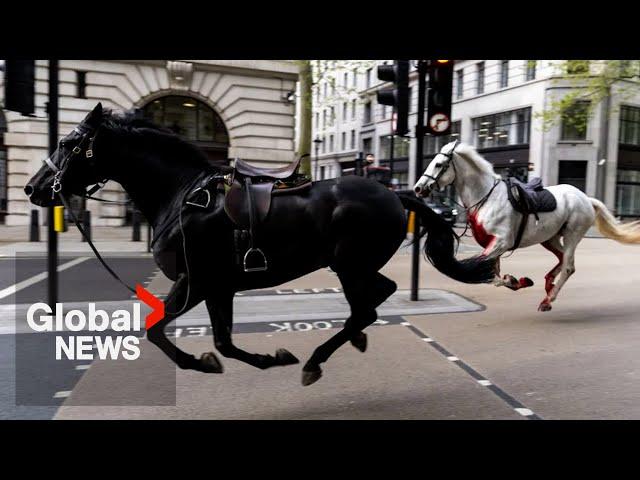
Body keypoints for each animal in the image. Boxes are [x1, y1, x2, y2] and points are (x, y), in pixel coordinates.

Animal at [25, 103, 496, 384]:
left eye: (67, 143)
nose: (33, 188)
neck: (181, 195)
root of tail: (395, 194)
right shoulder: (218, 287)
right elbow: (222, 342)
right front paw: (262, 358)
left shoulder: (196, 282)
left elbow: (157, 331)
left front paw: (203, 362)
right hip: (353, 265)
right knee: (377, 297)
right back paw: (351, 340)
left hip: (348, 265)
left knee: (367, 306)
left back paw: (317, 360)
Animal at [412, 141, 640, 312]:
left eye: (439, 164)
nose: (418, 188)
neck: (486, 197)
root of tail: (586, 198)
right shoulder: (493, 245)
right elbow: (494, 276)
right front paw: (517, 281)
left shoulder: (501, 242)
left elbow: (483, 272)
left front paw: (516, 280)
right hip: (550, 237)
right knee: (561, 259)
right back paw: (548, 284)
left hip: (572, 235)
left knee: (568, 266)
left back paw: (548, 299)